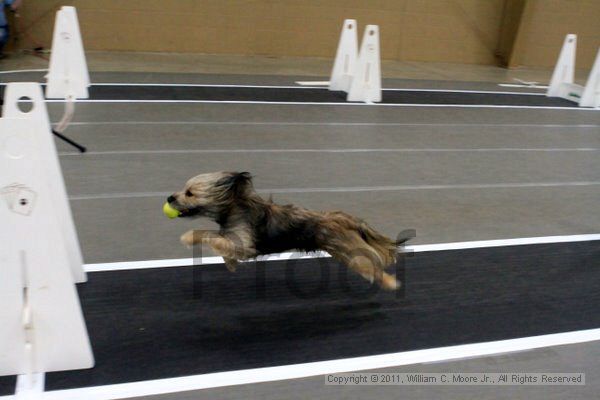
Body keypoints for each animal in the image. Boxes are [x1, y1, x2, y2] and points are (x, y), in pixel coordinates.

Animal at [166, 170, 406, 290]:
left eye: (189, 193)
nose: (169, 198)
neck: (235, 205)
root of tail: (338, 217)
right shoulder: (233, 241)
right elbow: (221, 243)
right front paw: (230, 263)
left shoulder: (243, 243)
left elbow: (208, 234)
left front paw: (188, 237)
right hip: (344, 251)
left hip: (350, 252)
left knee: (373, 267)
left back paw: (390, 283)